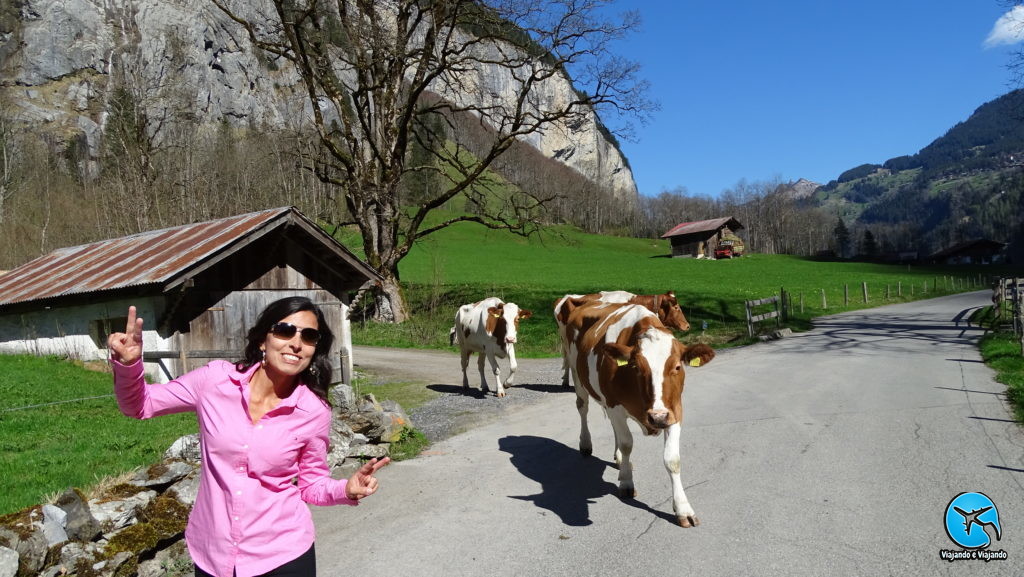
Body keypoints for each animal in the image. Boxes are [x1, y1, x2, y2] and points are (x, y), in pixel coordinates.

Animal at [561, 301, 712, 528]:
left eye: (677, 366)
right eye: (636, 367)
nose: (657, 417)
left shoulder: (674, 410)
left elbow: (672, 459)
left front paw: (683, 509)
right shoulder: (615, 404)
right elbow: (627, 444)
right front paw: (626, 482)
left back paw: (619, 459)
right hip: (577, 374)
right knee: (583, 408)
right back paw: (586, 444)